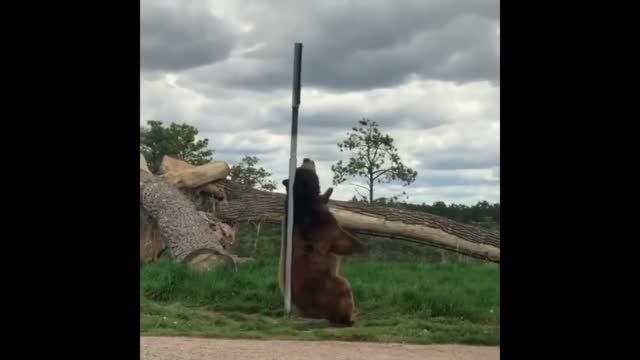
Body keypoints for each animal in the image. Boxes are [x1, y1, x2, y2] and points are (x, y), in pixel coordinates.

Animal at [278, 158, 364, 326]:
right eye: (303, 168)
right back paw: (347, 318)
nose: (306, 158)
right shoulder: (319, 224)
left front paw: (329, 191)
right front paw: (361, 246)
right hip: (328, 286)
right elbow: (339, 238)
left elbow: (323, 198)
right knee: (344, 290)